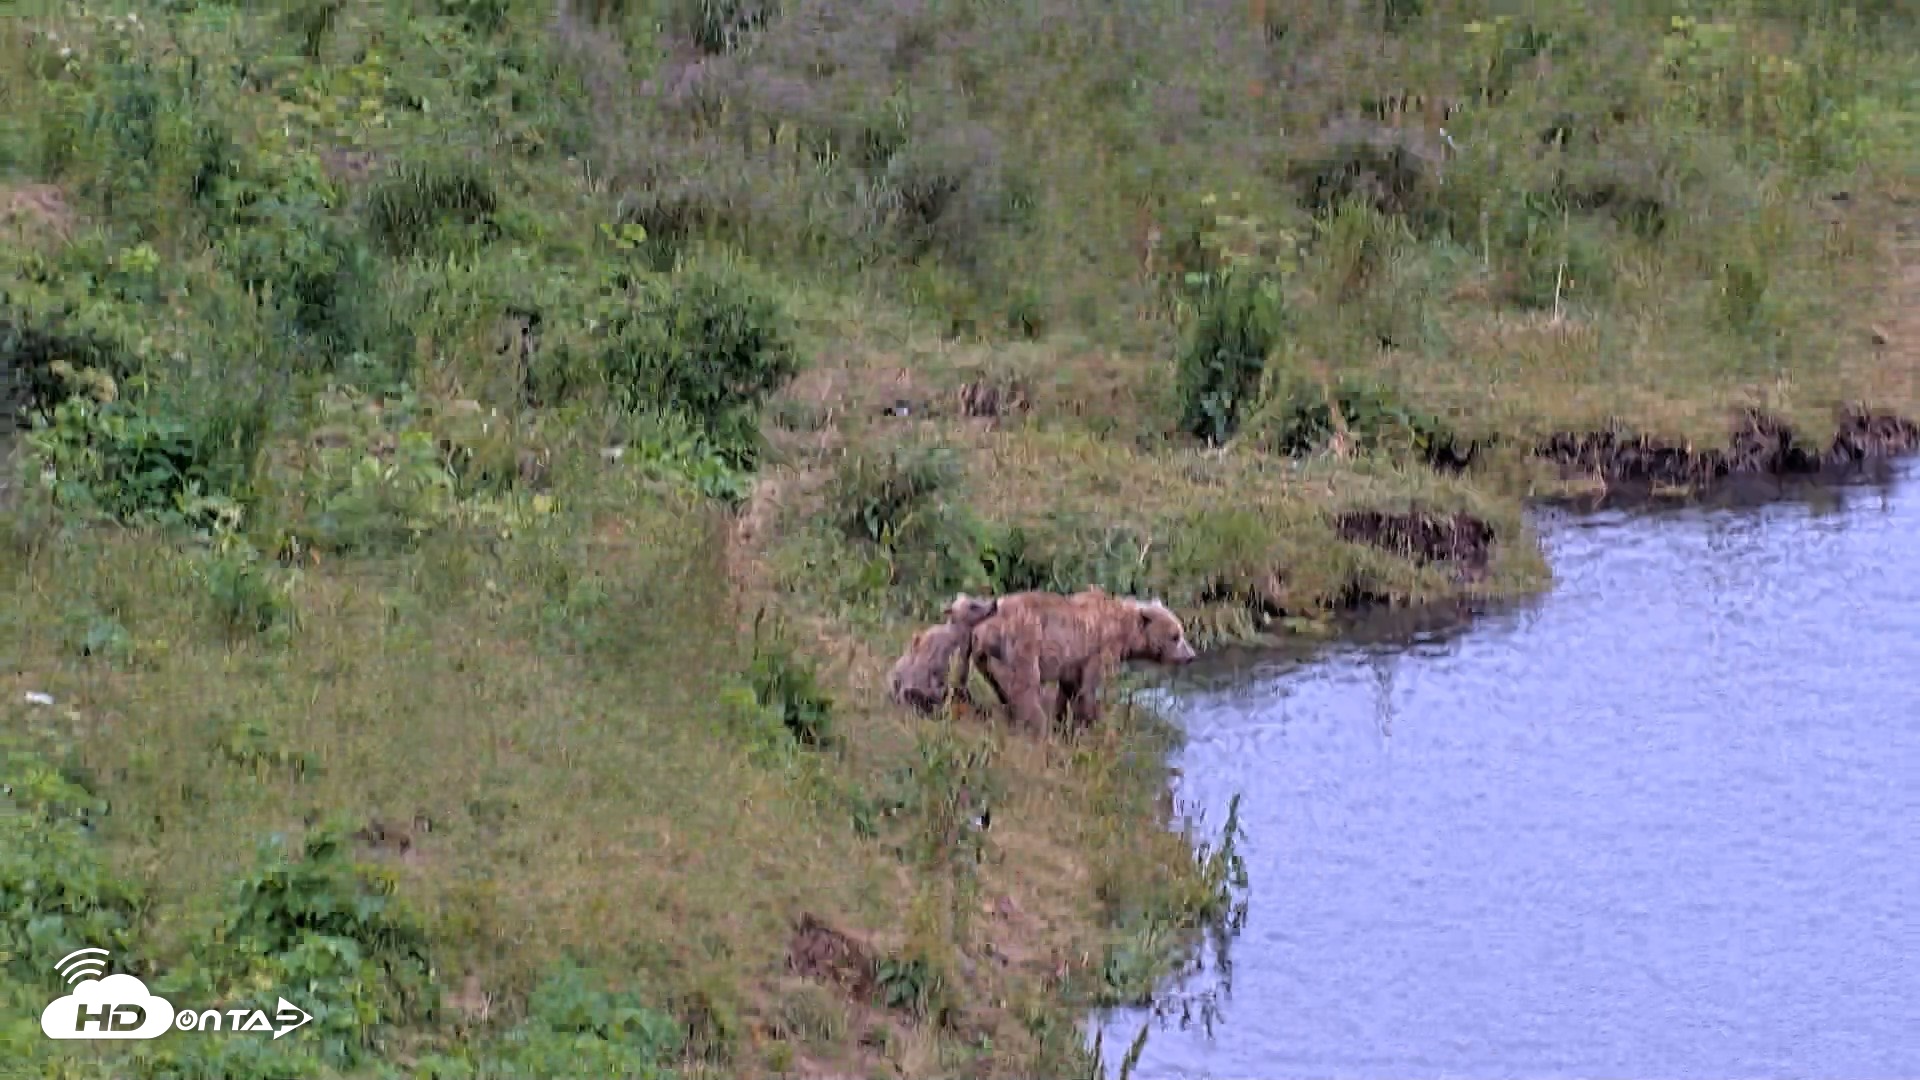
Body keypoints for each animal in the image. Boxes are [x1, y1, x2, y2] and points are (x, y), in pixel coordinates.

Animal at [968, 586, 1197, 735]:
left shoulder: (1073, 660)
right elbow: (1088, 687)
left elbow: (1069, 688)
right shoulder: (1101, 649)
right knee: (1025, 685)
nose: (1191, 656)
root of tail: (984, 627)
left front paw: (1063, 722)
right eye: (1175, 636)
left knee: (1001, 686)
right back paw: (1038, 726)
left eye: (1181, 632)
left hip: (986, 658)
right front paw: (1088, 723)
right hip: (1023, 642)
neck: (1126, 633)